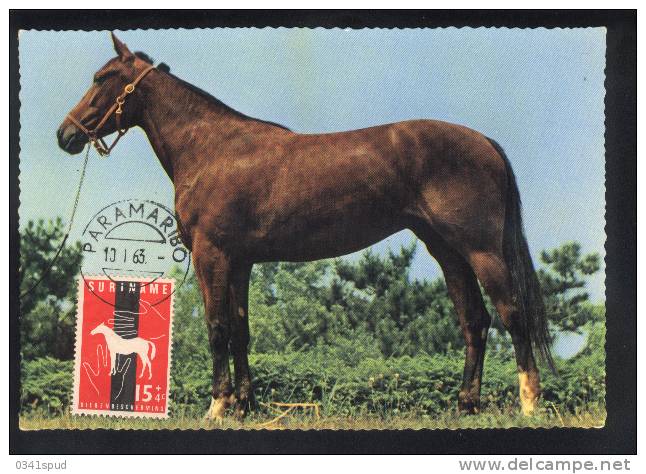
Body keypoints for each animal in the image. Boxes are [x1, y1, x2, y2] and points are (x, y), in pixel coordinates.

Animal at [58, 33, 556, 418]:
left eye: (102, 78)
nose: (66, 135)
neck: (211, 150)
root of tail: (484, 141)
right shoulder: (240, 262)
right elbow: (240, 330)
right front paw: (245, 406)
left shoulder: (211, 255)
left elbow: (217, 328)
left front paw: (217, 407)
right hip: (447, 251)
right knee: (475, 321)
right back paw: (466, 404)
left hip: (481, 250)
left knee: (512, 314)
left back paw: (529, 402)